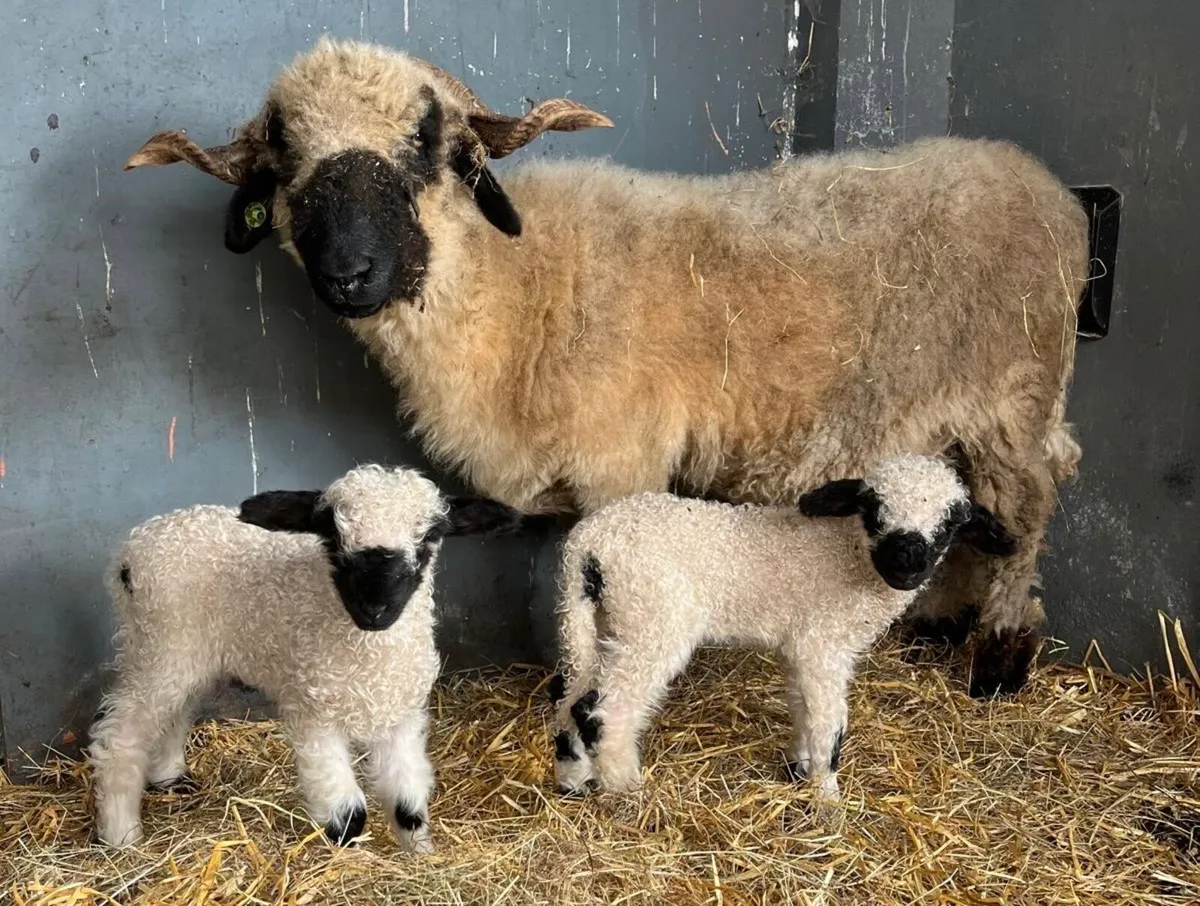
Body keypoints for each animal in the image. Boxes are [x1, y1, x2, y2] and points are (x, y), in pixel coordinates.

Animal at [87, 463, 523, 851]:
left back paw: (169, 778)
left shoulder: (401, 715)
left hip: (183, 653)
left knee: (175, 711)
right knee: (121, 738)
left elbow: (408, 803)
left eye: (430, 537)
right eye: (331, 533)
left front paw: (420, 855)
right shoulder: (314, 713)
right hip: (162, 646)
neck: (370, 657)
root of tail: (132, 551)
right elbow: (348, 814)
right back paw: (122, 835)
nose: (374, 608)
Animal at [122, 37, 1089, 697]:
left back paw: (1001, 653)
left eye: (427, 146)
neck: (518, 293)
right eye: (288, 160)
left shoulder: (624, 466)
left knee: (1029, 508)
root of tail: (1049, 189)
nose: (349, 275)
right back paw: (942, 623)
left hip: (1014, 397)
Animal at [548, 455, 1018, 800]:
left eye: (951, 524)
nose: (906, 563)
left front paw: (800, 767)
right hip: (653, 620)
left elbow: (802, 708)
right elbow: (829, 722)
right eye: (873, 510)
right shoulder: (823, 647)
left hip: (601, 620)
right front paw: (827, 796)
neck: (848, 555)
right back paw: (625, 787)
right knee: (604, 708)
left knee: (570, 698)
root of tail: (588, 543)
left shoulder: (800, 648)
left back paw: (574, 779)